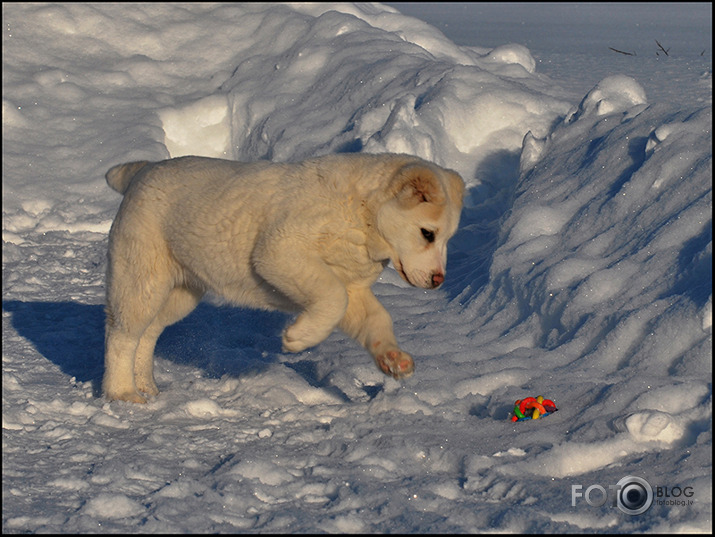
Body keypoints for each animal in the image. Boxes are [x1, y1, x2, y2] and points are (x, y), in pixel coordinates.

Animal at [103, 153, 468, 400]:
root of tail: (143, 170)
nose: (438, 280)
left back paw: (147, 386)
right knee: (122, 333)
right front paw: (297, 338)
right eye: (427, 234)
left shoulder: (352, 286)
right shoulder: (280, 250)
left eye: (447, 239)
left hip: (181, 290)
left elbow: (374, 317)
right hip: (142, 272)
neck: (362, 212)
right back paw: (124, 394)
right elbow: (332, 296)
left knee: (148, 332)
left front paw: (392, 360)